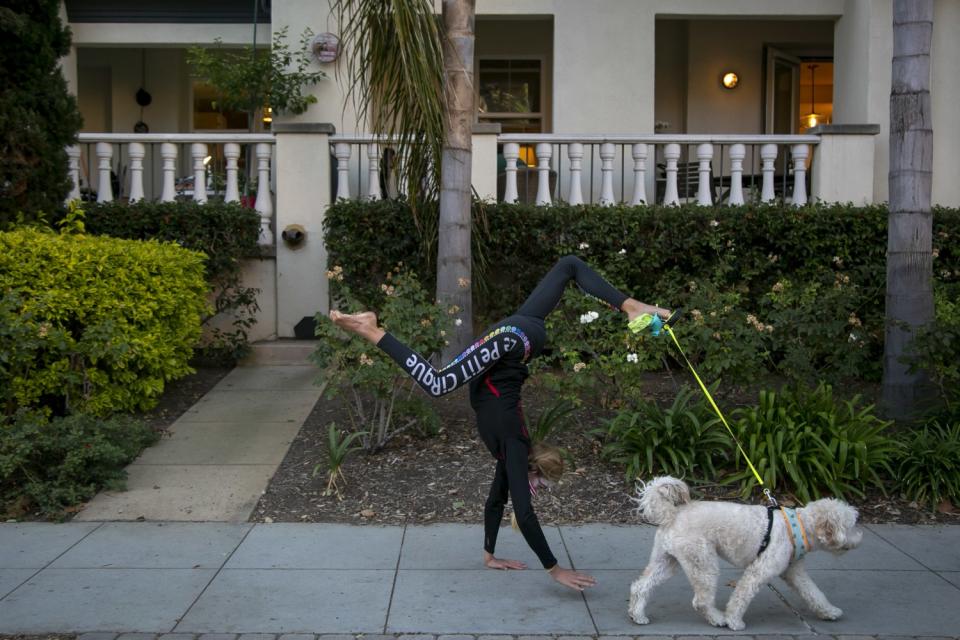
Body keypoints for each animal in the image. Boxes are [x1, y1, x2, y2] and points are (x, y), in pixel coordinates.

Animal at [632, 476, 864, 632]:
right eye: (852, 526)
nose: (860, 538)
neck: (797, 527)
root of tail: (672, 514)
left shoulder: (794, 573)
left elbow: (814, 593)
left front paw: (829, 611)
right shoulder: (758, 572)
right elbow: (740, 598)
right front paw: (734, 621)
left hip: (666, 562)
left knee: (641, 586)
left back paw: (637, 615)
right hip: (704, 565)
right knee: (700, 601)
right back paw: (718, 619)